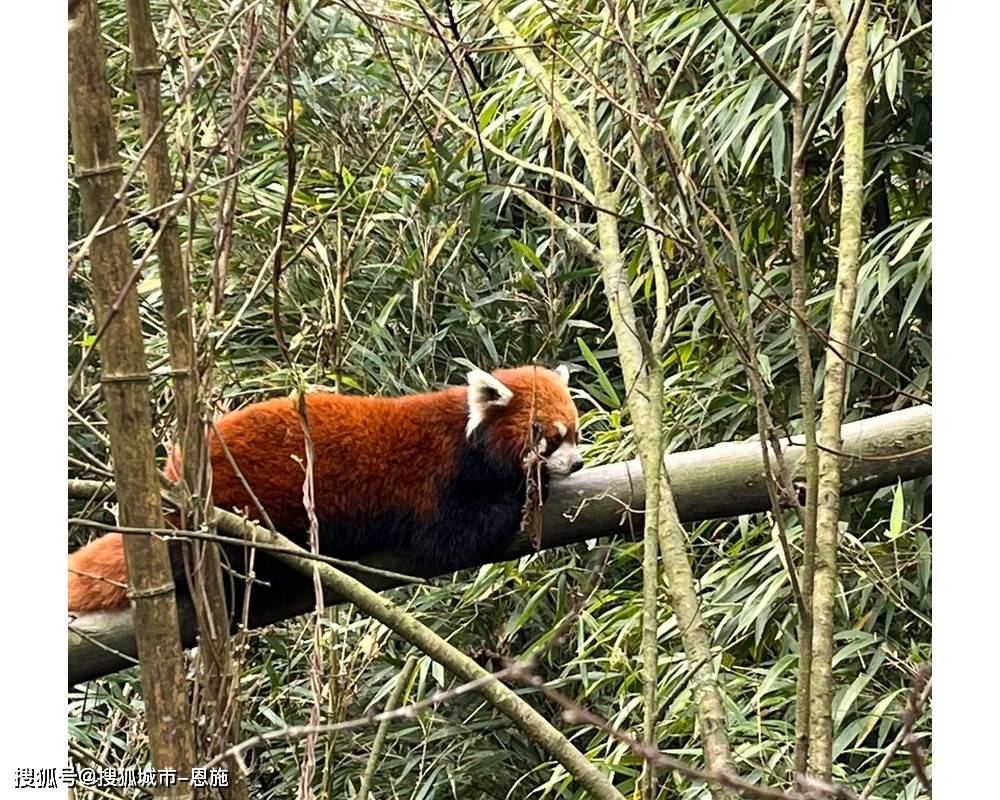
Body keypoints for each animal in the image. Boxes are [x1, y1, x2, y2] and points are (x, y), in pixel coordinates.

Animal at [70, 368, 584, 612]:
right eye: (550, 436)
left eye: (576, 433)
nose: (577, 462)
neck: (467, 436)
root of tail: (174, 481)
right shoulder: (434, 478)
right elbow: (450, 538)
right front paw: (525, 493)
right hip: (237, 509)